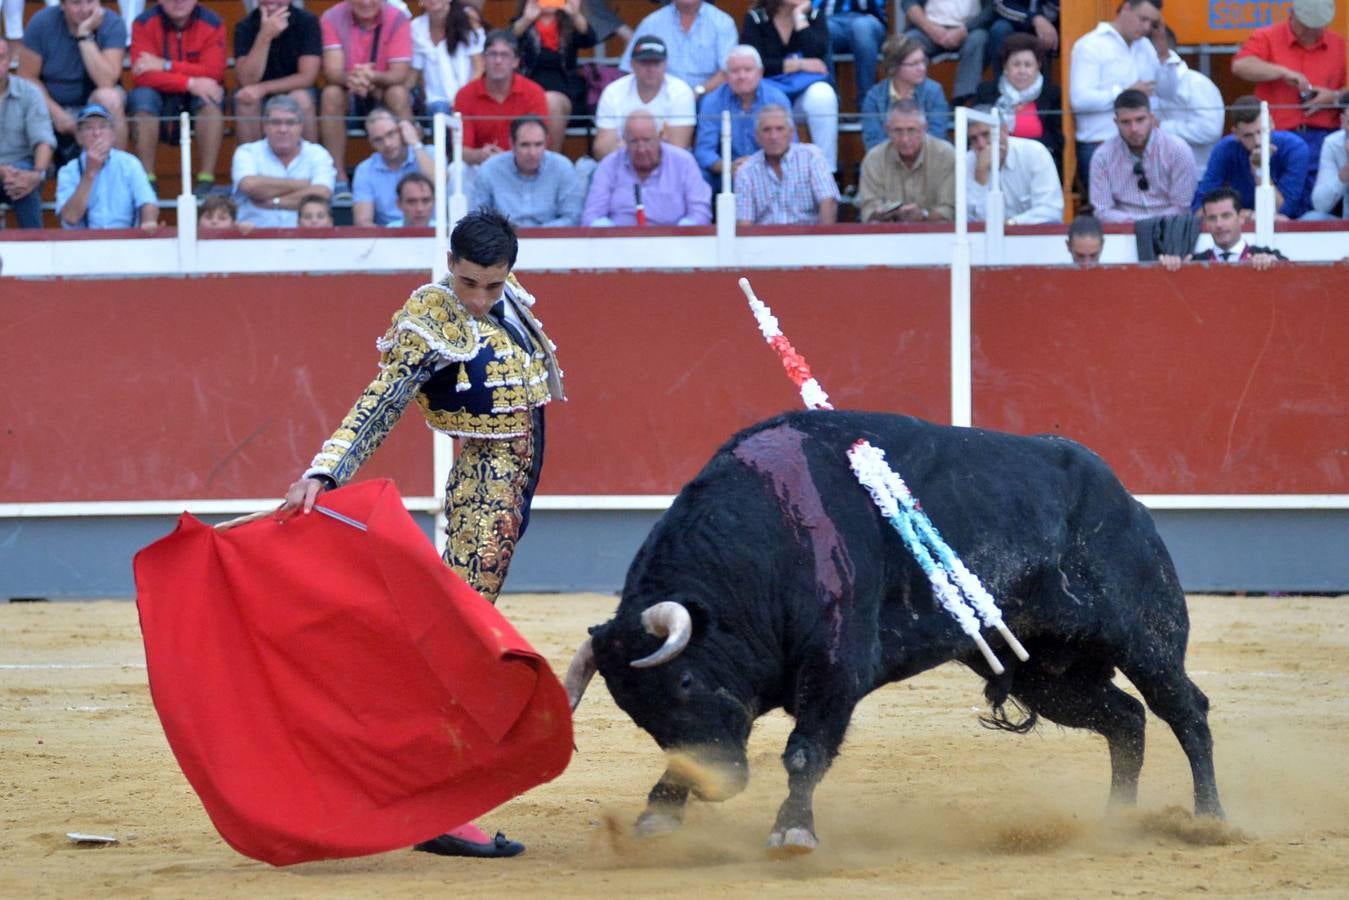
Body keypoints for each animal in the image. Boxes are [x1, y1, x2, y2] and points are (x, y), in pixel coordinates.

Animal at [563, 412, 1230, 858]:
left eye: (686, 681)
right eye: (636, 712)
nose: (720, 787)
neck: (766, 544)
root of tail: (1126, 499)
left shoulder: (837, 669)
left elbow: (804, 751)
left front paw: (792, 831)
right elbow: (695, 751)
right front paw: (657, 816)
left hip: (1145, 637)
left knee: (1184, 710)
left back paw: (1209, 820)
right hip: (1047, 673)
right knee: (1126, 719)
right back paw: (1115, 821)